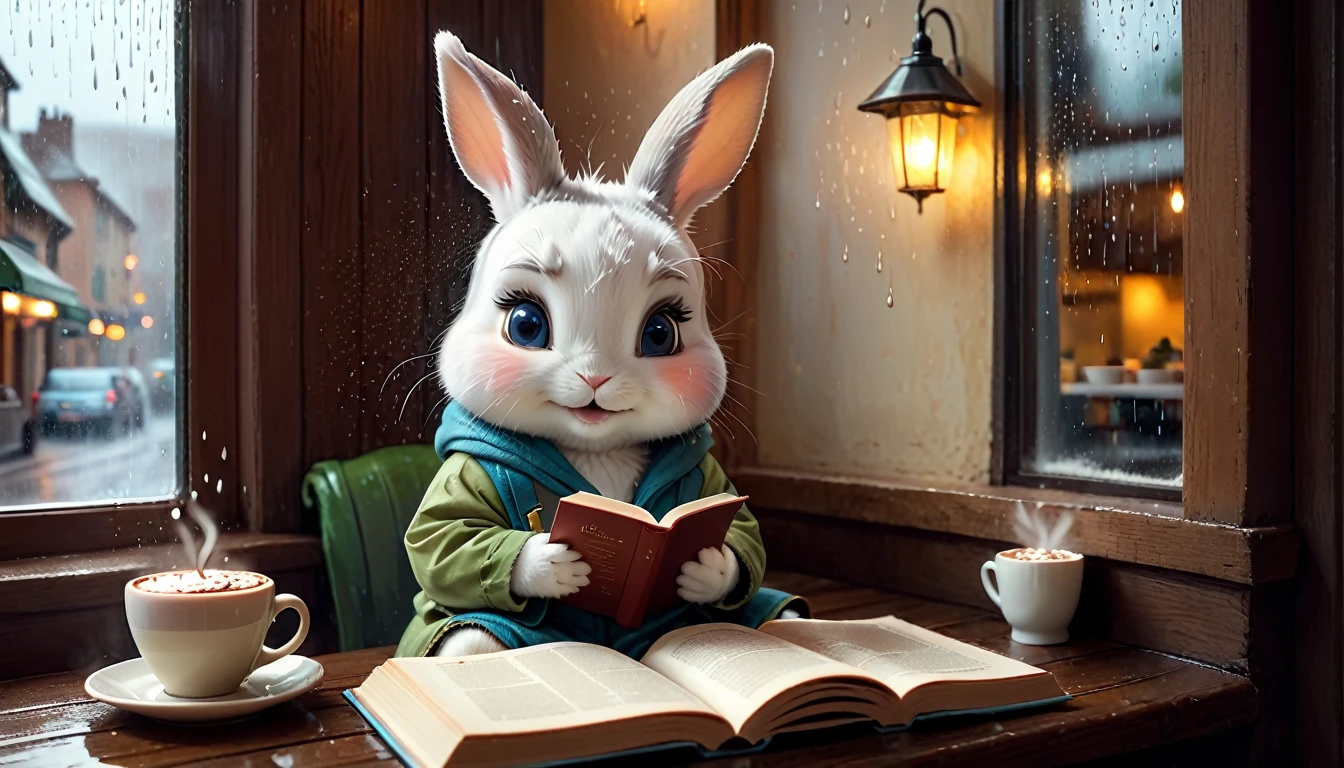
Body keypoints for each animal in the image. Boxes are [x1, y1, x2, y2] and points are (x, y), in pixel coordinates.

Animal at [424, 34, 784, 656]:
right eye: (525, 325)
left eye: (661, 333)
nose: (595, 379)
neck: (595, 450)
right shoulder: (461, 480)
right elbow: (441, 539)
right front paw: (550, 564)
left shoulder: (715, 487)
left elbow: (746, 539)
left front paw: (706, 567)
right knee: (471, 641)